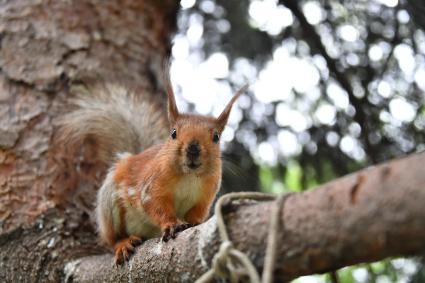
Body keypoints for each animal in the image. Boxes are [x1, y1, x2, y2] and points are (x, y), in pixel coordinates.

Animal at [58, 81, 247, 266]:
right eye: (173, 133)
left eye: (216, 137)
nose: (193, 149)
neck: (189, 176)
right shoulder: (151, 188)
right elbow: (156, 205)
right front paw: (171, 224)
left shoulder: (205, 196)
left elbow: (197, 212)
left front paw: (194, 222)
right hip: (109, 204)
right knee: (112, 239)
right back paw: (123, 243)